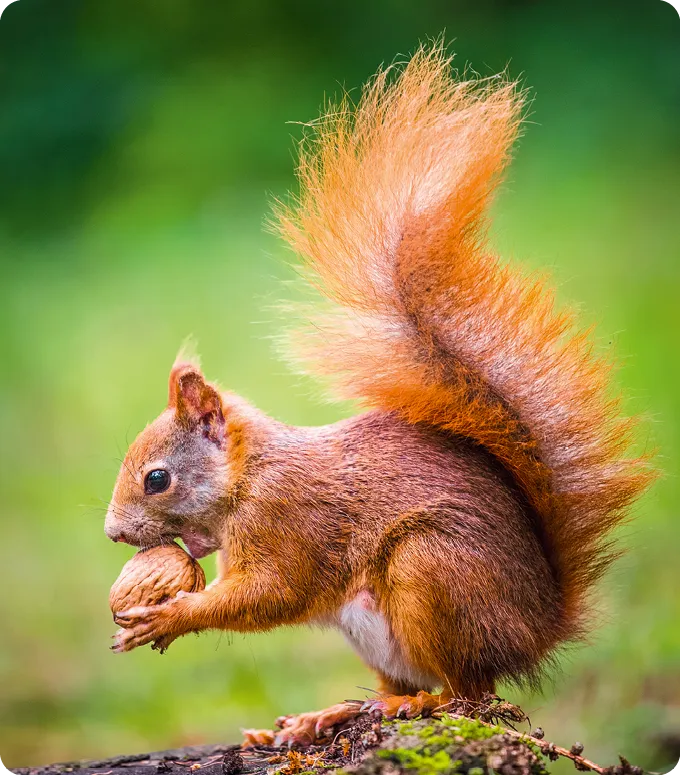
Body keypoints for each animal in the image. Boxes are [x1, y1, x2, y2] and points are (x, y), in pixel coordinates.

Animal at [105, 44, 652, 744]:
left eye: (157, 479)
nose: (114, 534)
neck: (249, 477)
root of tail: (536, 630)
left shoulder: (290, 520)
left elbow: (272, 593)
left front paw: (169, 616)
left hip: (432, 573)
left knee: (468, 694)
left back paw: (416, 707)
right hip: (381, 634)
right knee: (408, 686)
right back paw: (327, 716)